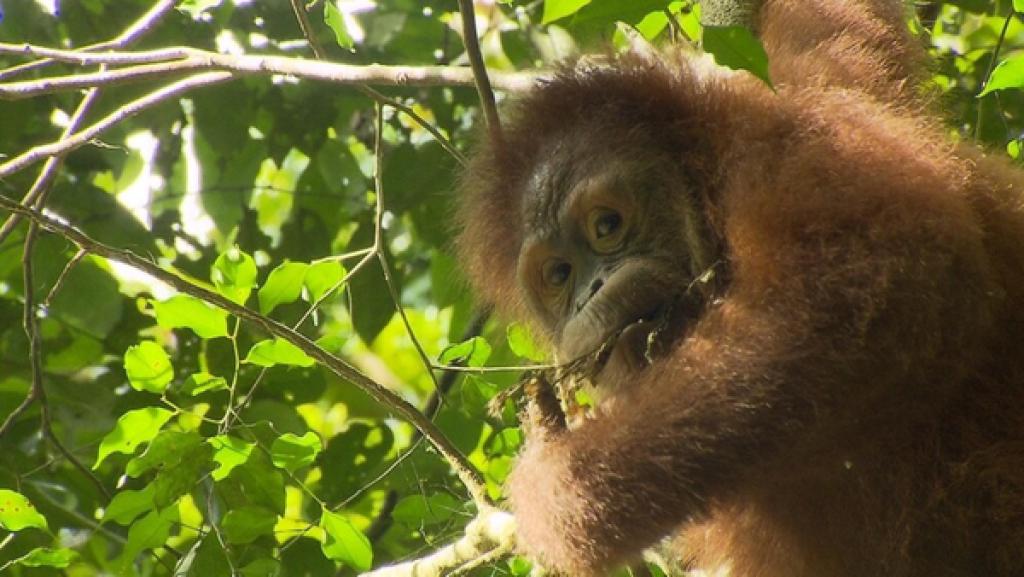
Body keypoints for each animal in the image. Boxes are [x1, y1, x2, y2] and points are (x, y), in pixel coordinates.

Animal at [455, 0, 1024, 576]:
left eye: (607, 225)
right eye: (558, 275)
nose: (593, 289)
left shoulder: (794, 158)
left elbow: (877, 282)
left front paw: (559, 487)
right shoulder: (824, 90)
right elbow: (836, 34)